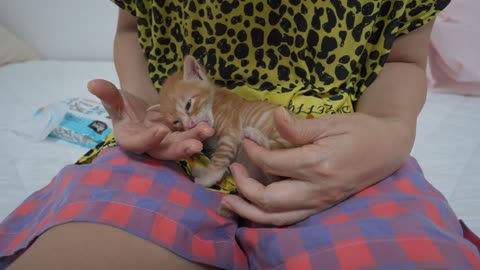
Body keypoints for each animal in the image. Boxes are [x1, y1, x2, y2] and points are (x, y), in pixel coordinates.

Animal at [156, 55, 294, 188]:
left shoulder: (231, 131)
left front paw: (208, 177)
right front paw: (204, 171)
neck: (214, 103)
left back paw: (255, 134)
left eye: (188, 105)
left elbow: (219, 159)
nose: (189, 125)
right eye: (176, 122)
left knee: (278, 148)